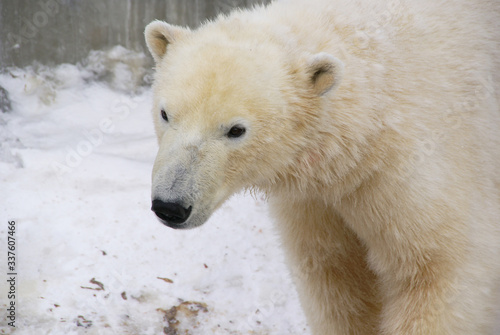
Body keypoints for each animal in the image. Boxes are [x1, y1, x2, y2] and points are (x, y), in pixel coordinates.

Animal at [145, 0, 500, 334]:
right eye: (165, 114)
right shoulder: (315, 200)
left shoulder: (422, 163)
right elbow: (335, 278)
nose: (171, 206)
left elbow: (437, 268)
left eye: (235, 130)